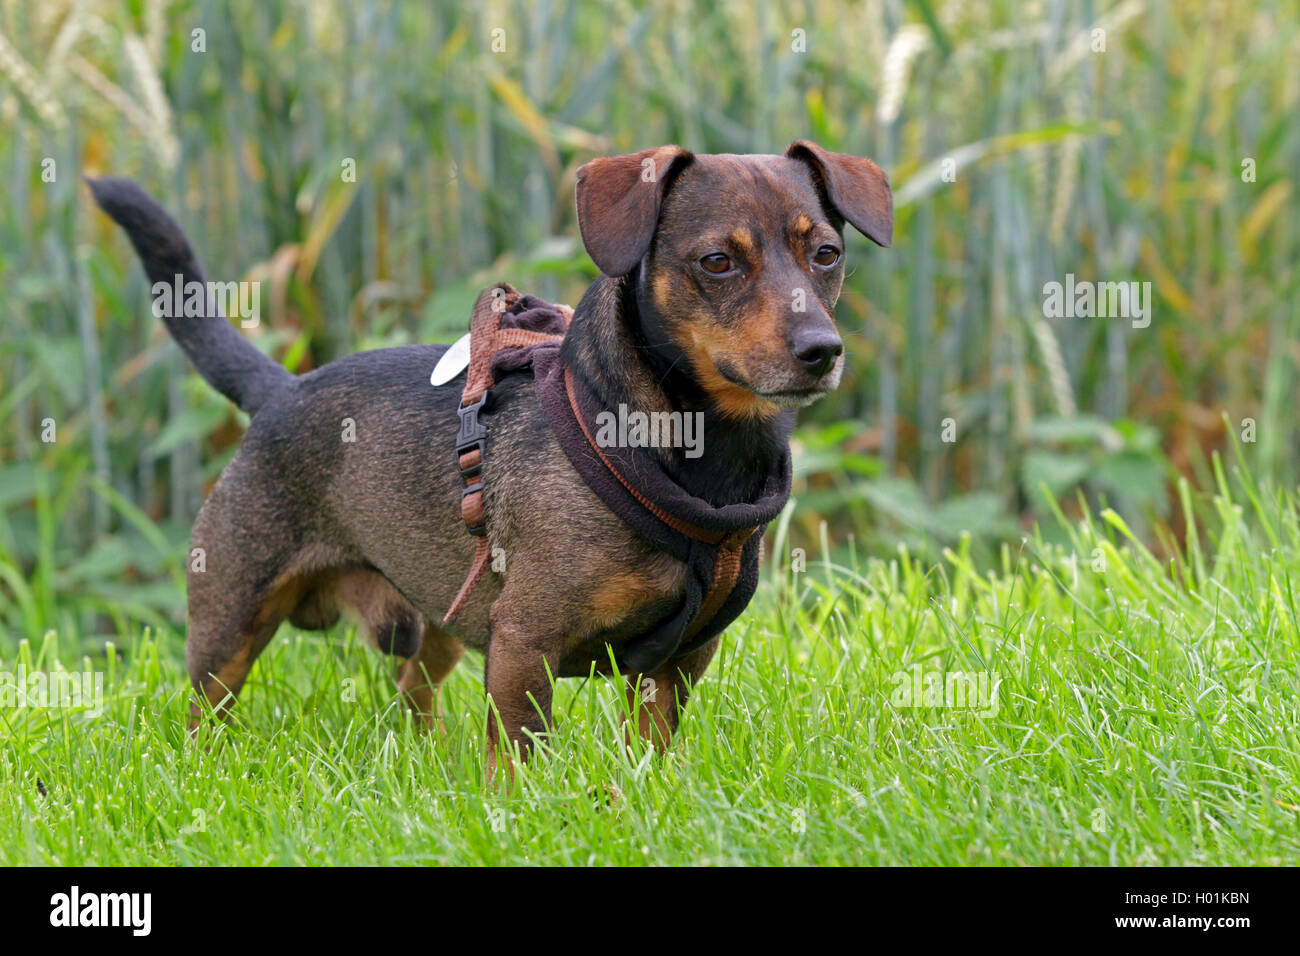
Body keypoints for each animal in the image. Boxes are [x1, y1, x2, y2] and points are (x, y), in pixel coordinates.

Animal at [86, 138, 889, 775]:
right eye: (717, 262)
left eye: (827, 255)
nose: (821, 350)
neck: (696, 451)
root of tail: (282, 388)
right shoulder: (523, 645)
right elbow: (521, 756)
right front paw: (522, 816)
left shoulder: (679, 660)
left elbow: (653, 749)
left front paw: (650, 798)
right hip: (231, 619)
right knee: (207, 711)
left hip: (439, 610)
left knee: (413, 687)